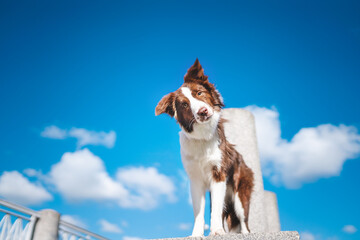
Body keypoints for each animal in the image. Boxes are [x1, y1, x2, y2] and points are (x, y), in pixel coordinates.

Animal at [156, 58, 255, 236]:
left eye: (199, 93)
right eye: (184, 105)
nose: (202, 111)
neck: (202, 137)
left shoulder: (218, 175)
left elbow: (215, 210)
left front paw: (217, 231)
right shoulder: (195, 179)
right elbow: (199, 212)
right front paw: (196, 234)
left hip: (240, 192)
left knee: (243, 219)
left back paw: (245, 233)